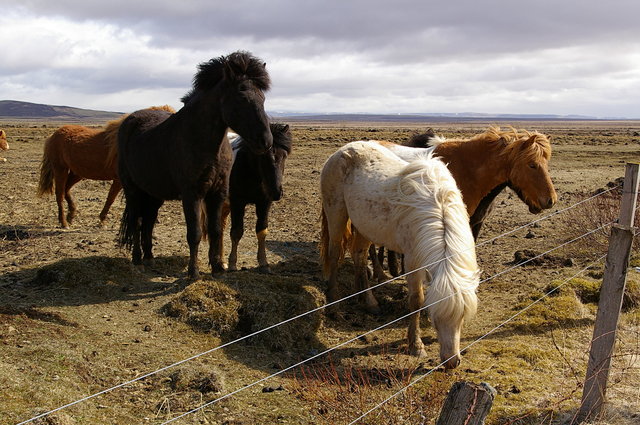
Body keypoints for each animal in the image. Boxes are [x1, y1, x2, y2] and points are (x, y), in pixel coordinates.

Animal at [37, 106, 175, 228]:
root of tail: (53, 136)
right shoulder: (120, 180)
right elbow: (111, 199)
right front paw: (102, 220)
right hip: (60, 169)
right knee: (59, 194)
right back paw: (64, 222)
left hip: (77, 173)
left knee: (66, 190)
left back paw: (71, 216)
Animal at [117, 51, 273, 279]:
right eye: (242, 97)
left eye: (262, 98)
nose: (266, 141)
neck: (204, 142)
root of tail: (130, 120)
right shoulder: (192, 194)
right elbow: (195, 233)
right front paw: (194, 272)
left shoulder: (218, 193)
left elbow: (215, 230)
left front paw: (218, 268)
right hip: (133, 190)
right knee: (137, 221)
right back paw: (137, 260)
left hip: (153, 193)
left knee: (148, 221)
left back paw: (149, 257)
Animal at [223, 123, 292, 273]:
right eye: (262, 156)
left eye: (284, 156)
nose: (276, 192)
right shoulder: (237, 202)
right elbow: (236, 231)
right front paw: (232, 264)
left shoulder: (264, 203)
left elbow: (262, 231)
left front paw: (264, 263)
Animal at [320, 141, 479, 369]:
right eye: (435, 318)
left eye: (462, 317)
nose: (452, 362)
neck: (438, 208)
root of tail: (342, 151)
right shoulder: (412, 260)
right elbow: (416, 300)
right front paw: (416, 346)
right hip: (336, 214)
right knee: (334, 256)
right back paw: (334, 306)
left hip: (365, 226)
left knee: (359, 255)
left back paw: (369, 302)